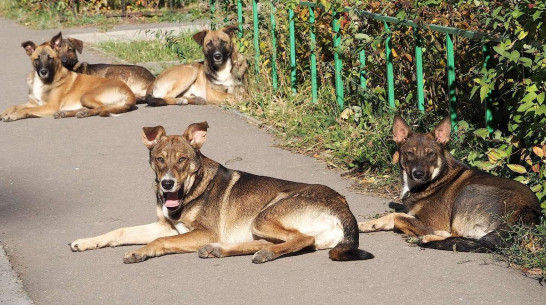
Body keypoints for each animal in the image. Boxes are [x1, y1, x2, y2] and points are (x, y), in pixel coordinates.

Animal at [0, 39, 135, 121]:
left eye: (50, 58)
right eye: (37, 58)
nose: (43, 72)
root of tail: (129, 92)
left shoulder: (50, 106)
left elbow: (25, 109)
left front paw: (13, 115)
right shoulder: (34, 103)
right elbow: (15, 105)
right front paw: (4, 113)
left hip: (86, 96)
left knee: (101, 108)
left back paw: (83, 113)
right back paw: (65, 113)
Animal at [68, 120, 370, 262]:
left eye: (182, 159)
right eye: (160, 159)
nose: (167, 184)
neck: (189, 192)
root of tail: (344, 206)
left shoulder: (201, 232)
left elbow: (159, 241)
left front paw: (141, 252)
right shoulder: (165, 226)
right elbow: (119, 232)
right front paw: (86, 242)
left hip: (264, 215)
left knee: (302, 239)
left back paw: (259, 254)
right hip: (259, 224)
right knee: (272, 242)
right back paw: (219, 250)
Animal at [354, 115, 536, 251]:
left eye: (431, 154)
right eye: (410, 153)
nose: (418, 173)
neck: (436, 178)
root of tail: (528, 212)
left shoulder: (430, 222)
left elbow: (397, 216)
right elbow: (392, 216)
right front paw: (367, 225)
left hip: (468, 191)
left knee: (456, 235)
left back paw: (429, 238)